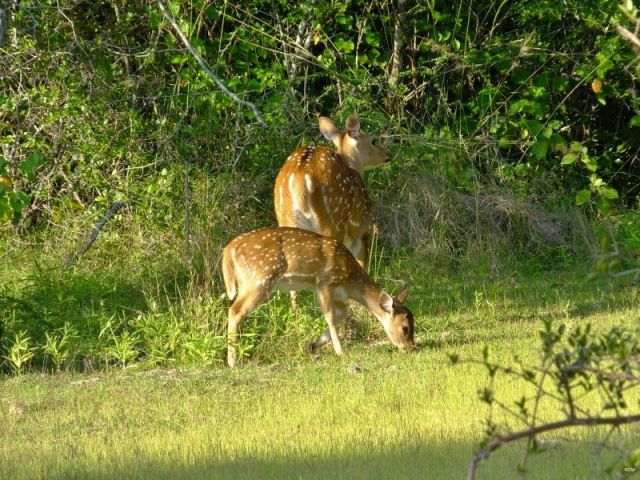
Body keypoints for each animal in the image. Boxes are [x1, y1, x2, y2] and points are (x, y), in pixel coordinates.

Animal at [222, 227, 415, 367]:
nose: (411, 347)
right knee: (235, 310)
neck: (349, 281)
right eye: (405, 328)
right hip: (259, 279)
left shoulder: (336, 293)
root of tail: (229, 250)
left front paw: (312, 345)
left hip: (251, 281)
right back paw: (232, 361)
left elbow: (341, 314)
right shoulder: (324, 282)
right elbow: (329, 316)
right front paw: (340, 351)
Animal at [274, 115, 391, 309]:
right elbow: (361, 263)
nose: (387, 156)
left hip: (285, 219)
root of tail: (299, 180)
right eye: (373, 140)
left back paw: (296, 310)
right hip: (332, 220)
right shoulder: (363, 230)